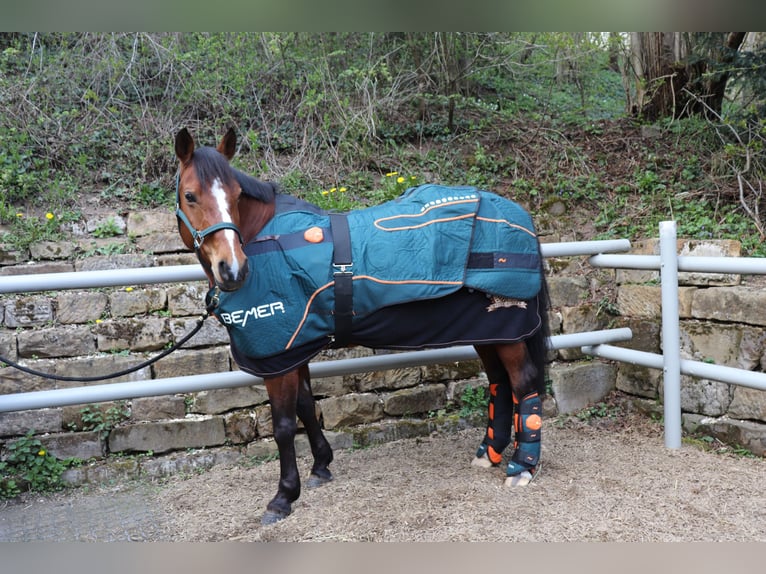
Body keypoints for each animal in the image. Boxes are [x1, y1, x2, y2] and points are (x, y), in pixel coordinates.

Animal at [173, 127, 550, 525]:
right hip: (491, 332)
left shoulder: (280, 357)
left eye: (235, 195)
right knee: (500, 383)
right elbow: (306, 406)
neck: (266, 240)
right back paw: (488, 454)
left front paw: (283, 496)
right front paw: (321, 466)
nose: (232, 270)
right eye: (190, 195)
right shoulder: (296, 348)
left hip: (507, 331)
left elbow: (284, 426)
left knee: (523, 383)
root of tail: (520, 216)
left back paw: (522, 466)